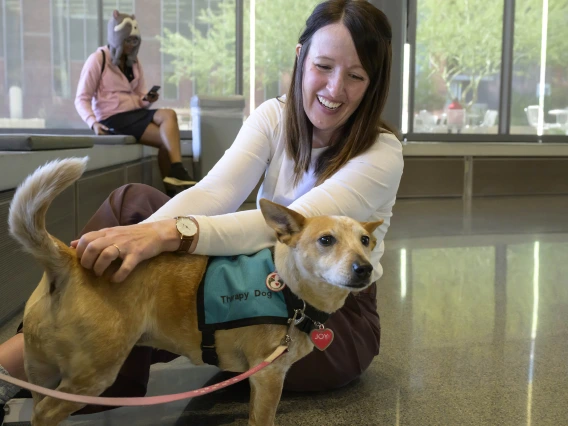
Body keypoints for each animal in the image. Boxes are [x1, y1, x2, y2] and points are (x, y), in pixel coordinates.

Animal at [8, 158, 382, 424]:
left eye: (366, 241)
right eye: (326, 240)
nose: (365, 268)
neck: (290, 290)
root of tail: (68, 259)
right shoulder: (268, 375)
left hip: (44, 372)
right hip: (94, 374)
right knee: (44, 413)